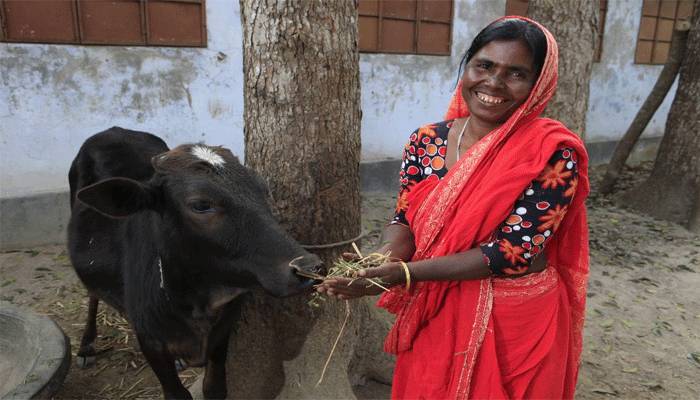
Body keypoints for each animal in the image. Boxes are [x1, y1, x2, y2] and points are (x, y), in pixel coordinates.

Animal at [68, 126, 320, 398]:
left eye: (263, 190)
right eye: (200, 205)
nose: (308, 267)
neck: (197, 303)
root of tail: (113, 130)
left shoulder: (222, 334)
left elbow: (214, 388)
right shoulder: (151, 343)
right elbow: (177, 393)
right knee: (92, 295)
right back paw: (86, 345)